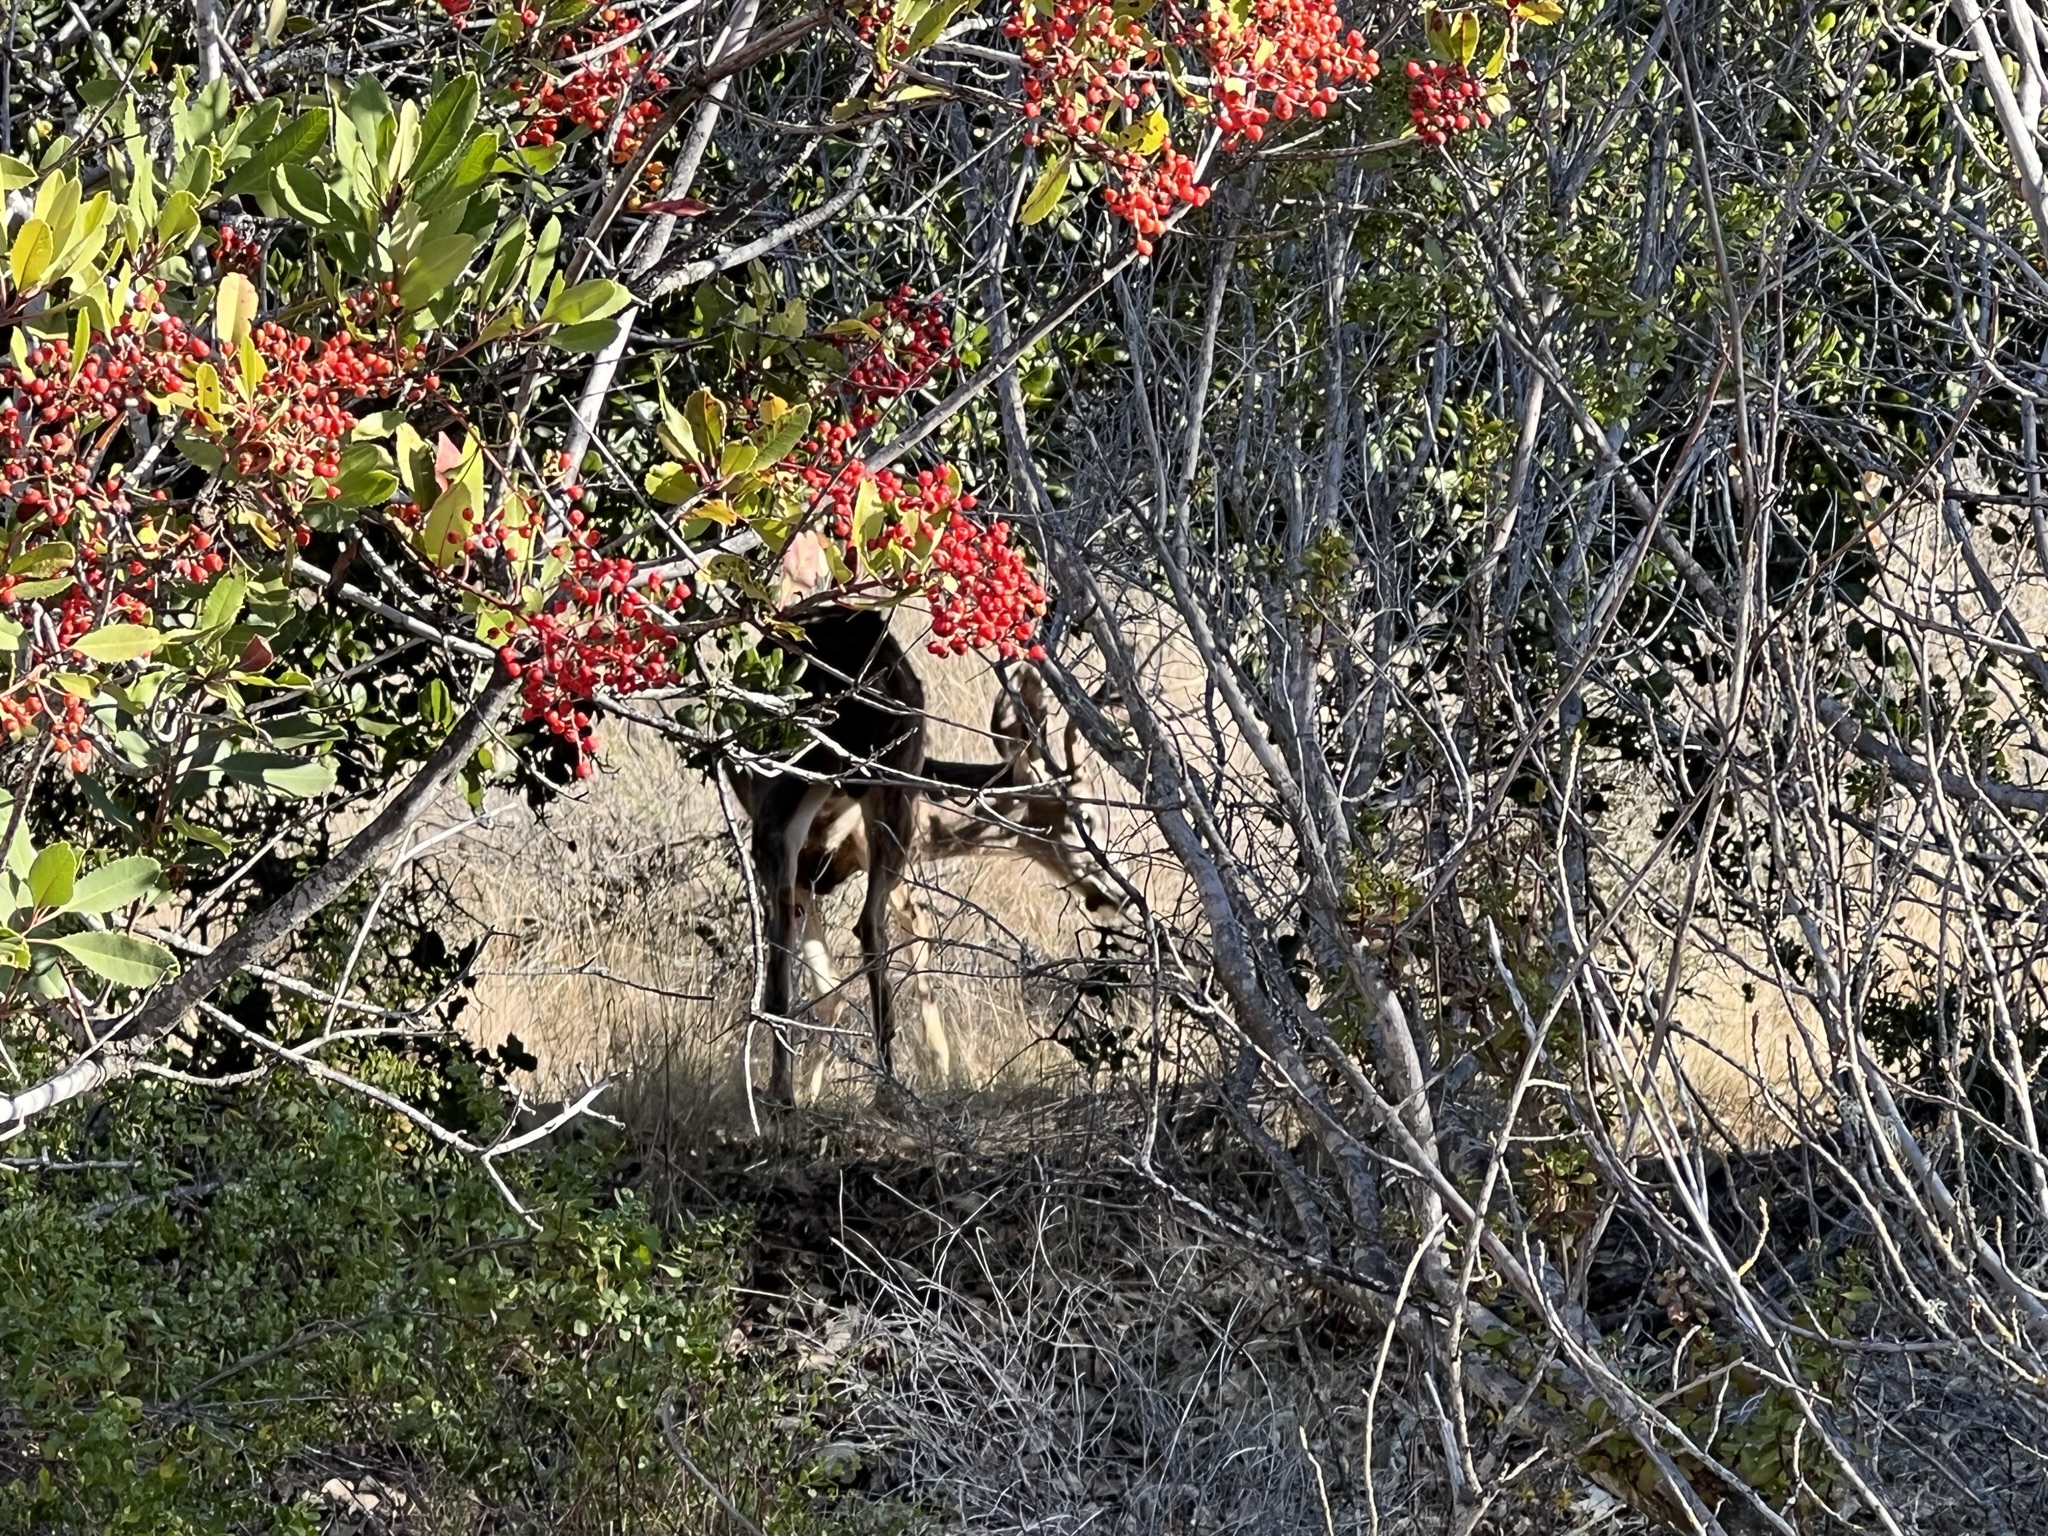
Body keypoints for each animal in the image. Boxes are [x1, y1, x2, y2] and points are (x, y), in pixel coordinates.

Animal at [725, 605, 1125, 1106]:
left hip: (777, 805)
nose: (1117, 893)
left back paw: (783, 1094)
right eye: (1086, 817)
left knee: (784, 949)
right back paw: (888, 1090)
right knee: (869, 927)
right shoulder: (879, 853)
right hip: (883, 794)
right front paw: (942, 1065)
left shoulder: (811, 872)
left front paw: (809, 1088)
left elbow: (829, 988)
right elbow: (915, 933)